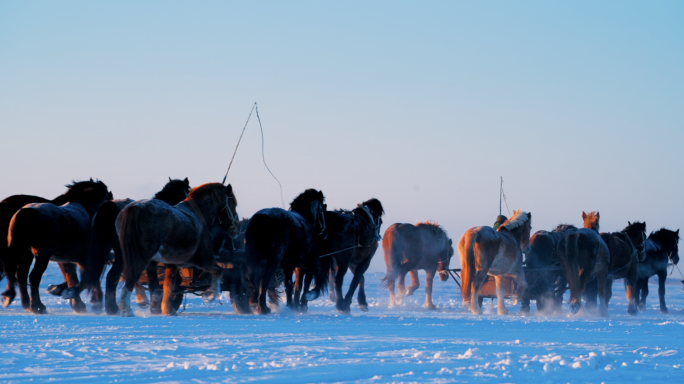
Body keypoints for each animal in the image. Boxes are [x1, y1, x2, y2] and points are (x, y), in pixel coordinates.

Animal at [4, 179, 111, 312]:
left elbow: (73, 279)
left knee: (20, 274)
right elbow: (86, 279)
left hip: (25, 252)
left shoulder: (68, 260)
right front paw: (94, 303)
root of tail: (26, 213)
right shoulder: (85, 260)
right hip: (42, 254)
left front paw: (78, 304)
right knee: (33, 276)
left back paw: (25, 303)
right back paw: (37, 306)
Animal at [115, 184, 238, 316]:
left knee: (131, 276)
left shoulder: (172, 263)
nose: (235, 228)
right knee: (132, 277)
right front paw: (210, 295)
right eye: (233, 204)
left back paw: (140, 302)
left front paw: (167, 309)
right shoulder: (203, 259)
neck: (199, 215)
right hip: (142, 255)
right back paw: (129, 308)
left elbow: (168, 284)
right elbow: (218, 271)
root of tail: (135, 208)